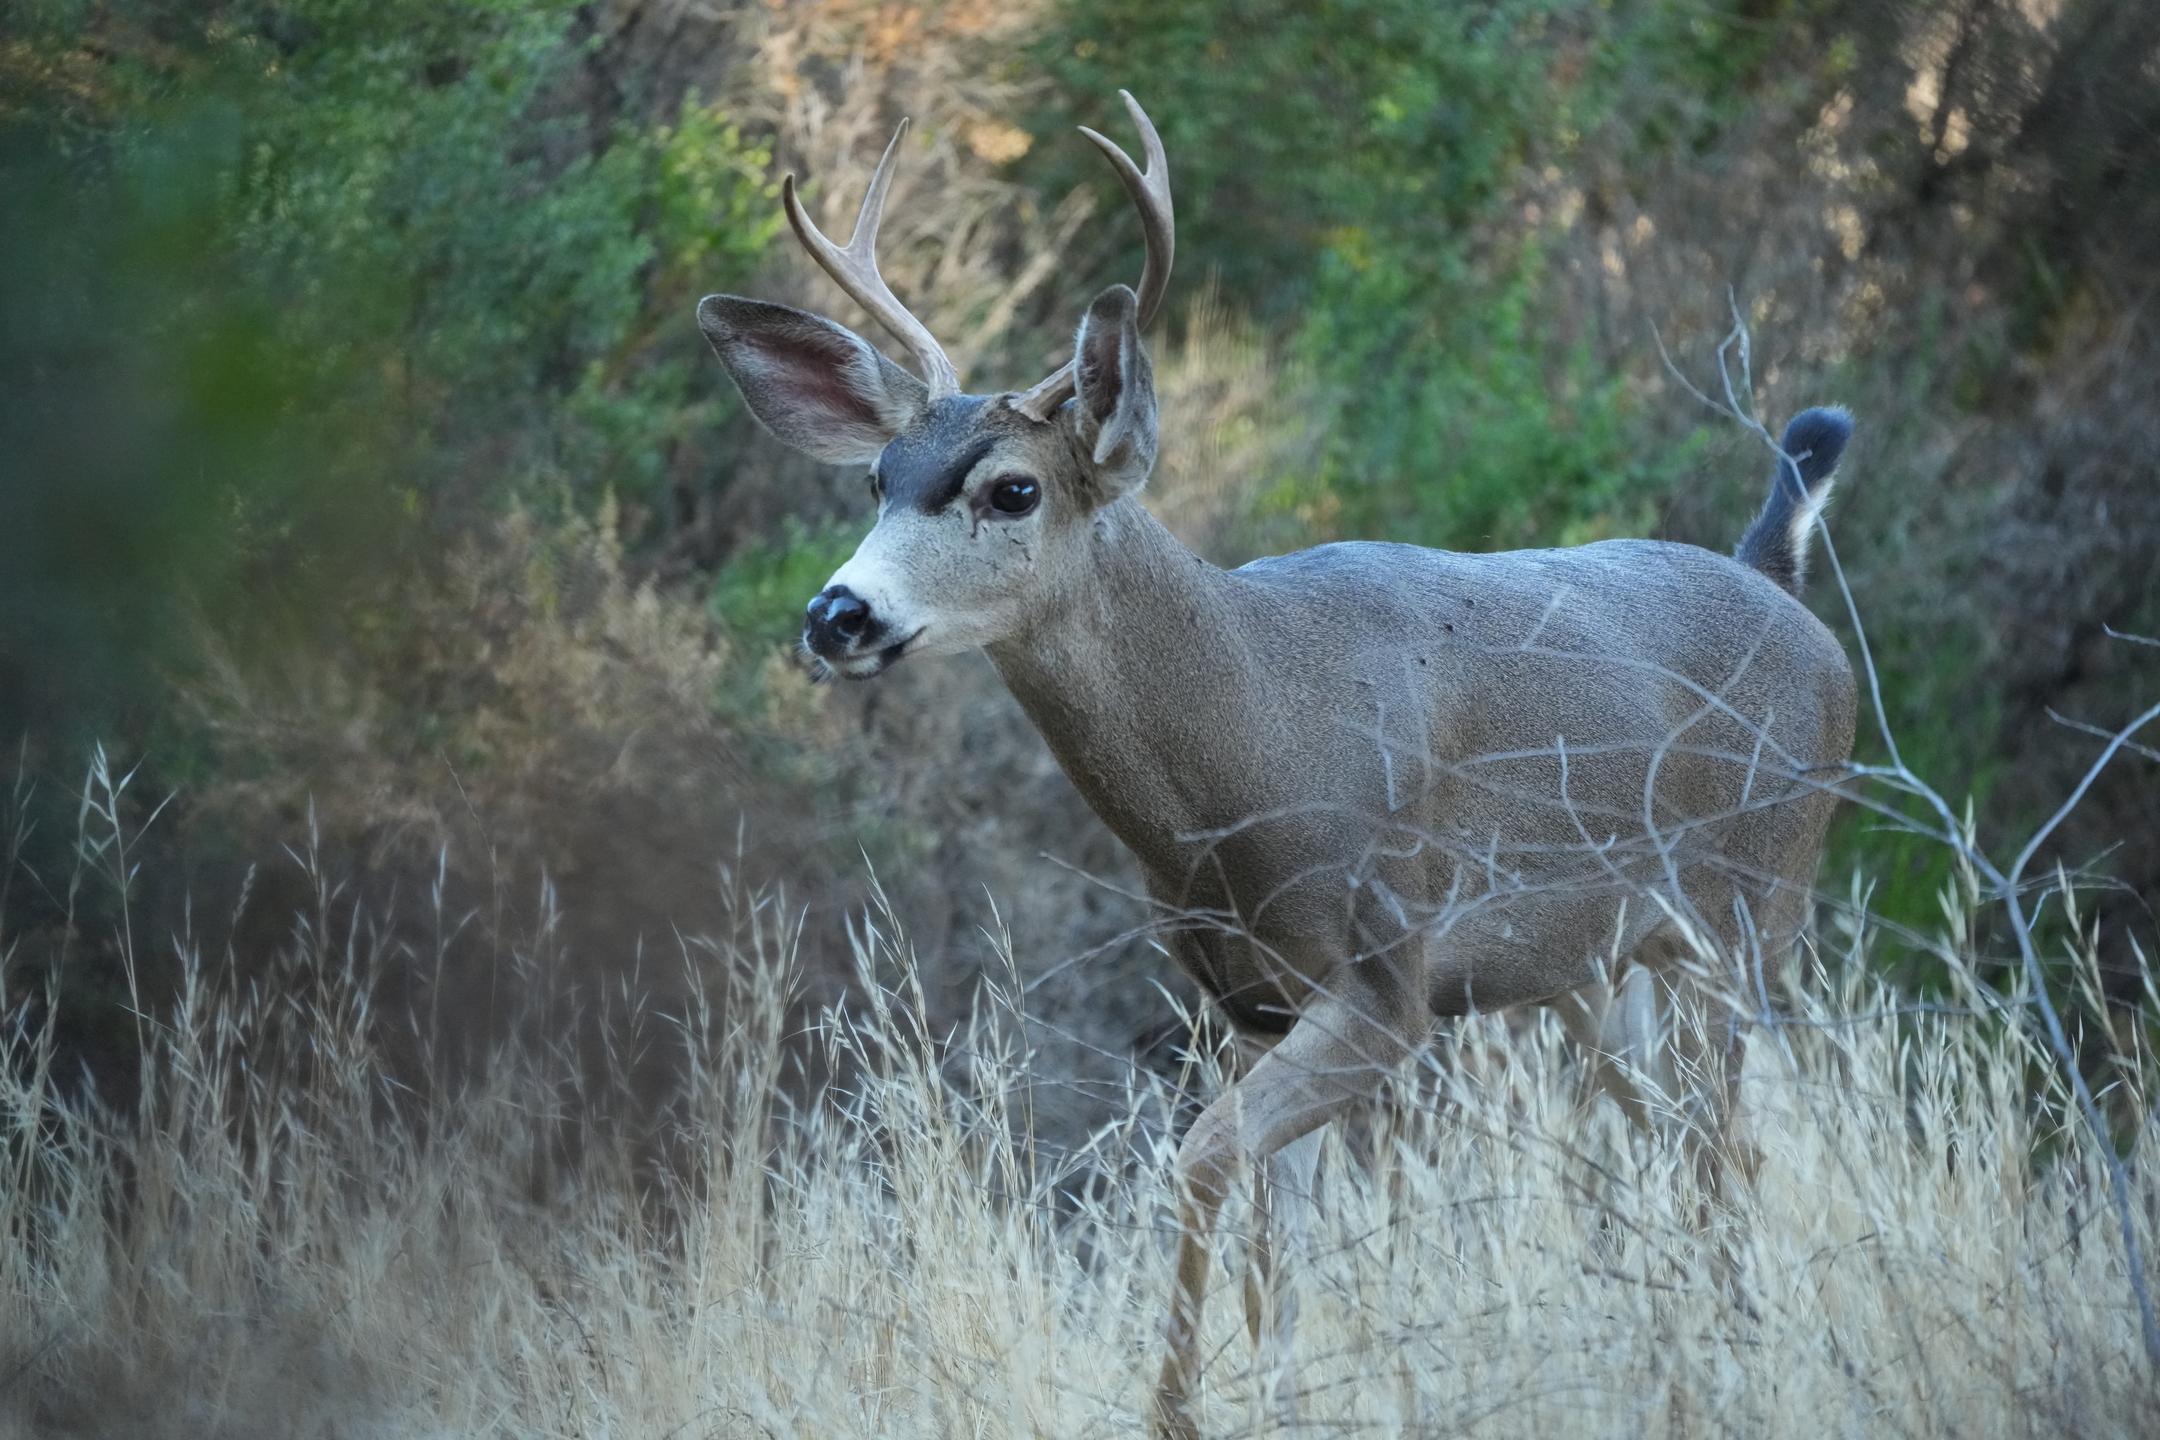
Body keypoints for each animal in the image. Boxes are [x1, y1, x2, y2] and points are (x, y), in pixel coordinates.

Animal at [697, 93, 1855, 1439]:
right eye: (880, 479)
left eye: (1012, 488)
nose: (837, 614)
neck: (1246, 746)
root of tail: (1786, 591)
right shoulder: (1247, 999)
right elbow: (1276, 1255)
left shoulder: (1389, 978)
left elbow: (1201, 1161)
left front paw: (1173, 1412)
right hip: (1599, 968)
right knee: (1674, 1146)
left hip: (1752, 910)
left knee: (1733, 1153)